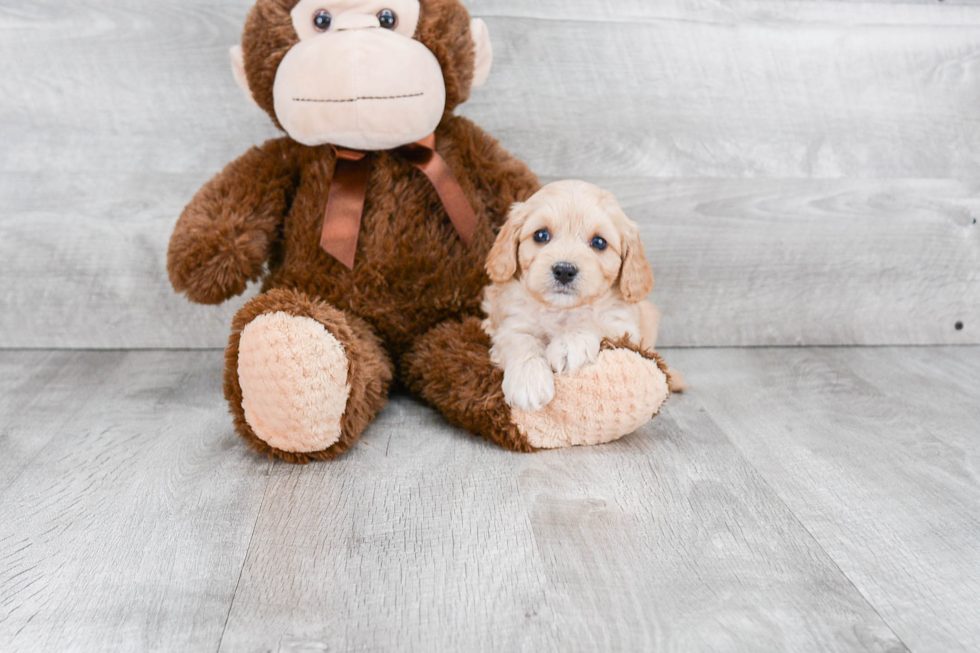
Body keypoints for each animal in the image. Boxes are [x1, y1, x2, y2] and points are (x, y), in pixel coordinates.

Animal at [484, 181, 672, 410]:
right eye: (540, 235)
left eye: (599, 242)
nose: (564, 271)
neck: (561, 309)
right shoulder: (508, 324)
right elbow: (521, 340)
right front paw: (529, 381)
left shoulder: (624, 327)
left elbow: (594, 322)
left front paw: (569, 344)